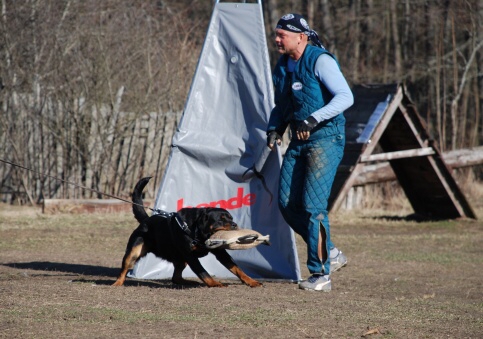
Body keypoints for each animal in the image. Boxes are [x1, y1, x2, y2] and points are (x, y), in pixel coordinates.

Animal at [113, 178, 262, 290]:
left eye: (231, 218)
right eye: (220, 220)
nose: (234, 224)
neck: (199, 233)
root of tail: (146, 220)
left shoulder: (220, 253)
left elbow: (236, 268)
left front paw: (251, 281)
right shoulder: (190, 256)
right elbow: (203, 271)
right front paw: (215, 283)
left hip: (180, 259)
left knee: (176, 277)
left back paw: (190, 282)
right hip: (134, 251)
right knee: (124, 269)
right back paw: (117, 283)